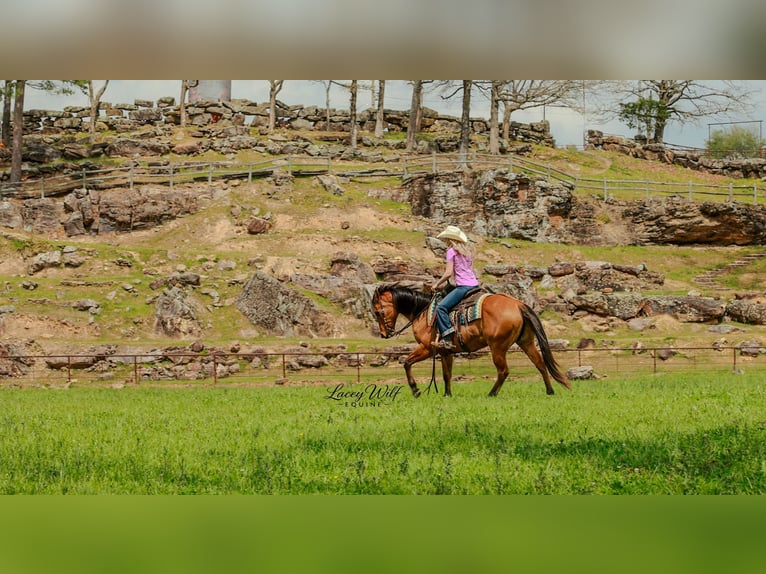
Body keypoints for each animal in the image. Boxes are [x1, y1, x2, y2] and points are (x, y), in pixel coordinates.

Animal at [371, 284, 571, 398]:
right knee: (540, 364)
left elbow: (406, 363)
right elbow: (447, 374)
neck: (424, 312)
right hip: (526, 342)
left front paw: (415, 390)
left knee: (504, 371)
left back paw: (491, 394)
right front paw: (447, 394)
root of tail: (518, 304)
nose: (384, 334)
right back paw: (550, 391)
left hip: (497, 347)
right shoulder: (445, 352)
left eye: (378, 312)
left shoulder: (427, 348)